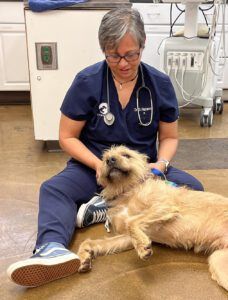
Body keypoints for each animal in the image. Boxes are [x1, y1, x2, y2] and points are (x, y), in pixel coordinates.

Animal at [78, 145, 228, 290]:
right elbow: (91, 242)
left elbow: (132, 221)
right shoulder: (126, 237)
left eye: (126, 154)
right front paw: (84, 256)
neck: (126, 192)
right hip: (218, 261)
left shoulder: (165, 205)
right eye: (104, 159)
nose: (110, 160)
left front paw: (142, 246)